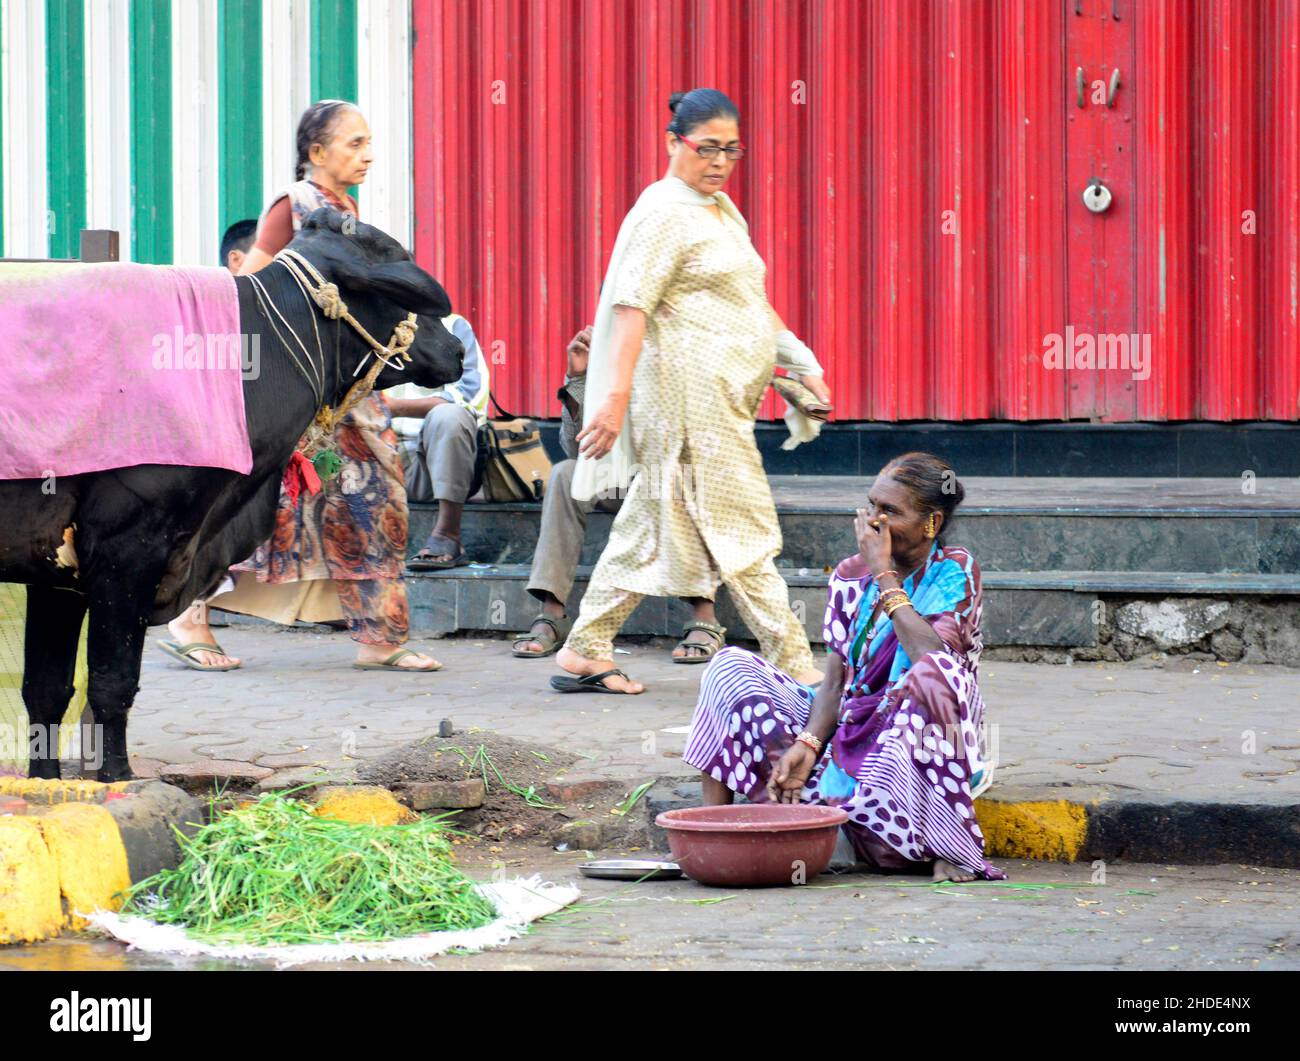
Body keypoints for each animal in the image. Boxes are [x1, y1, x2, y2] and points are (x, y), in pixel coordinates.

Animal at [0, 211, 465, 785]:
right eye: (396, 260)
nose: (458, 349)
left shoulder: (58, 573)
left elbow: (46, 693)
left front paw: (49, 787)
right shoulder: (126, 548)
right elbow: (111, 684)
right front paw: (118, 779)